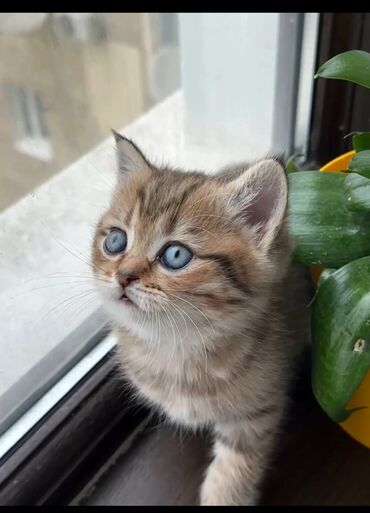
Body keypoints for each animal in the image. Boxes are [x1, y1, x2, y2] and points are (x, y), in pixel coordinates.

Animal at [92, 131, 310, 504]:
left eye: (176, 256)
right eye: (116, 241)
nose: (123, 275)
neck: (174, 347)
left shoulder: (256, 415)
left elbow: (234, 470)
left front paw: (223, 494)